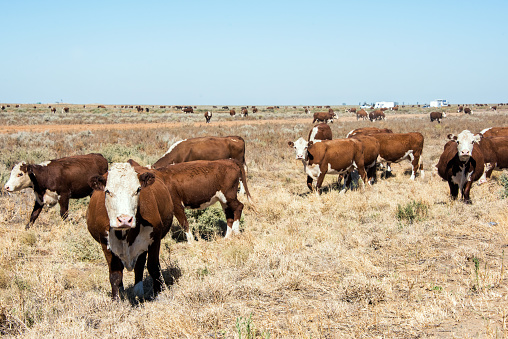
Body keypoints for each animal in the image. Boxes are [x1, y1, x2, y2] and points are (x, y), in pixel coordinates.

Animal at [87, 163, 175, 298]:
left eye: (138, 190)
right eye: (108, 191)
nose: (124, 219)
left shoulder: (154, 239)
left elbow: (153, 267)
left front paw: (158, 294)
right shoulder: (105, 244)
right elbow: (115, 274)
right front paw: (116, 299)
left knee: (140, 266)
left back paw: (138, 292)